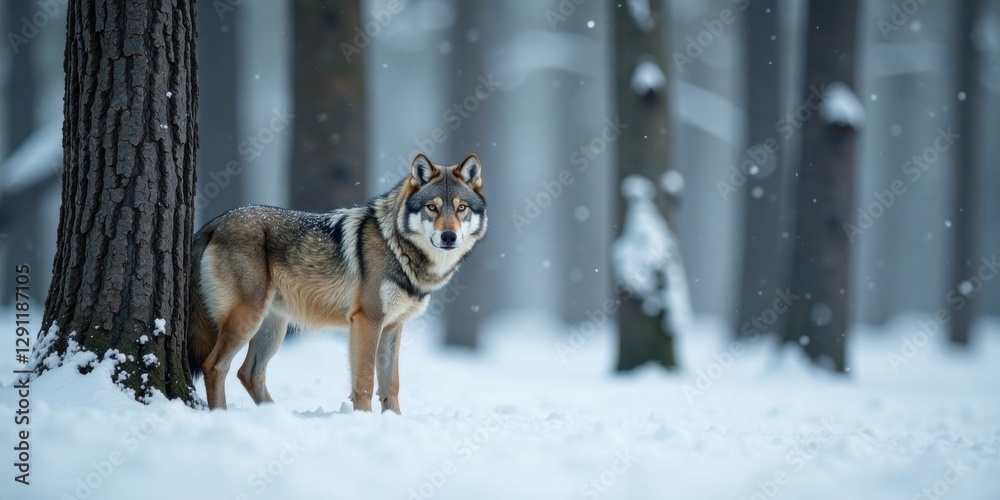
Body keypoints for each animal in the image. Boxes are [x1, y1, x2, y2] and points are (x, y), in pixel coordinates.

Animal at [187, 153, 487, 413]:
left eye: (461, 208)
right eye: (432, 208)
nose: (449, 237)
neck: (397, 248)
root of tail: (214, 223)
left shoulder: (393, 327)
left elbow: (391, 386)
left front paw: (394, 422)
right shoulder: (367, 321)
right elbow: (365, 383)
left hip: (272, 327)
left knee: (248, 373)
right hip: (247, 319)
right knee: (214, 366)